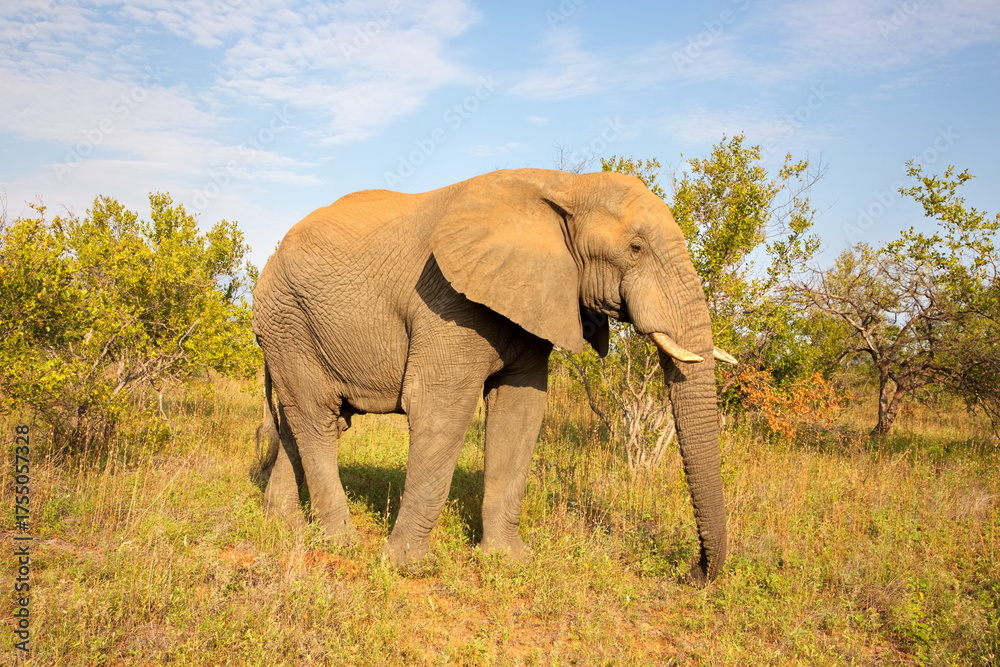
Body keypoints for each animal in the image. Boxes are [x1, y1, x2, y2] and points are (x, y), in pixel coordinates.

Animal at [253, 168, 735, 584]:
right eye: (636, 248)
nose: (691, 573)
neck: (566, 187)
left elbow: (521, 412)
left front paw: (509, 561)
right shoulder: (446, 300)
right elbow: (440, 409)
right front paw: (408, 567)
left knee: (309, 421)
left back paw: (284, 525)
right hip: (287, 317)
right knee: (317, 416)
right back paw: (341, 543)